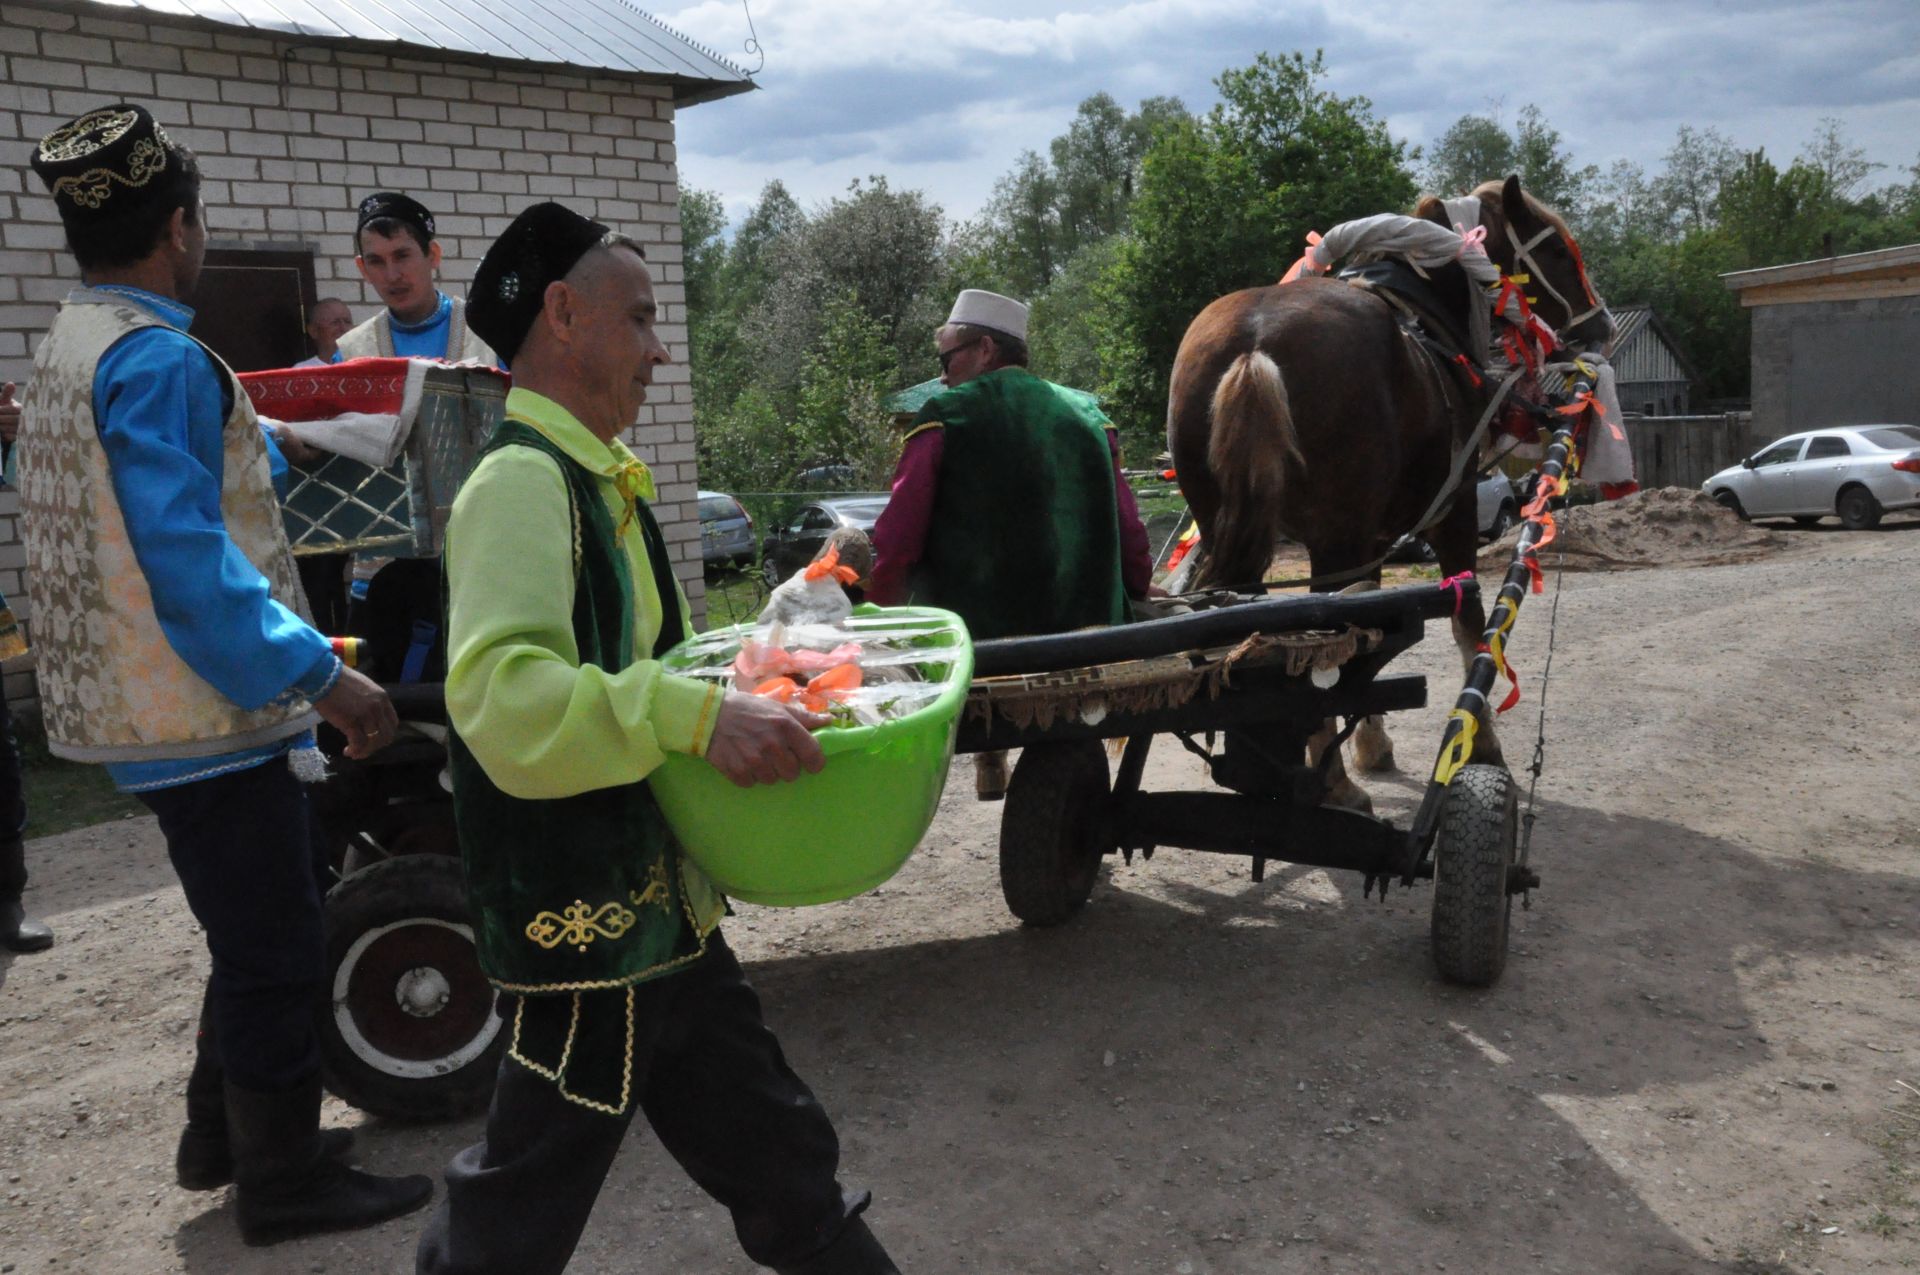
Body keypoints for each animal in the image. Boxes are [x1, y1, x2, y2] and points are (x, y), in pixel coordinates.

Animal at [1159, 174, 1612, 806]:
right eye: (1558, 253)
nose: (1602, 327)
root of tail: (1256, 343)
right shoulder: (1453, 511)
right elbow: (1467, 624)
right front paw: (1479, 745)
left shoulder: (1370, 538)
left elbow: (1371, 628)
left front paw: (1372, 744)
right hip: (1336, 540)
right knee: (1317, 639)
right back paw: (1333, 782)